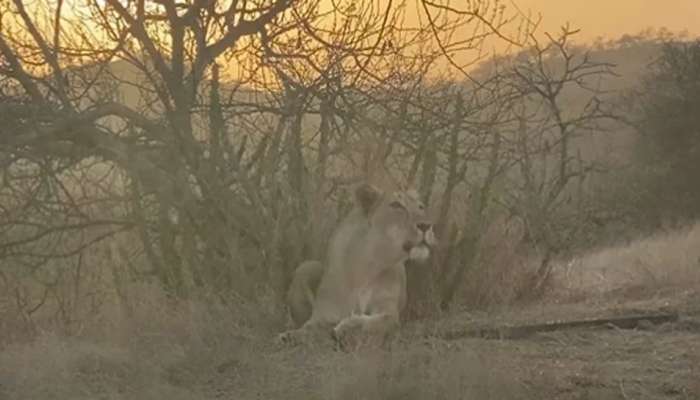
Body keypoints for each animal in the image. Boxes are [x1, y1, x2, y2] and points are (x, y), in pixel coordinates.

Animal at [276, 184, 434, 350]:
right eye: (396, 205)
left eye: (421, 207)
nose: (426, 225)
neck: (367, 267)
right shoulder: (322, 315)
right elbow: (307, 328)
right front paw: (288, 336)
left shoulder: (389, 312)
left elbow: (373, 321)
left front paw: (346, 327)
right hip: (306, 266)